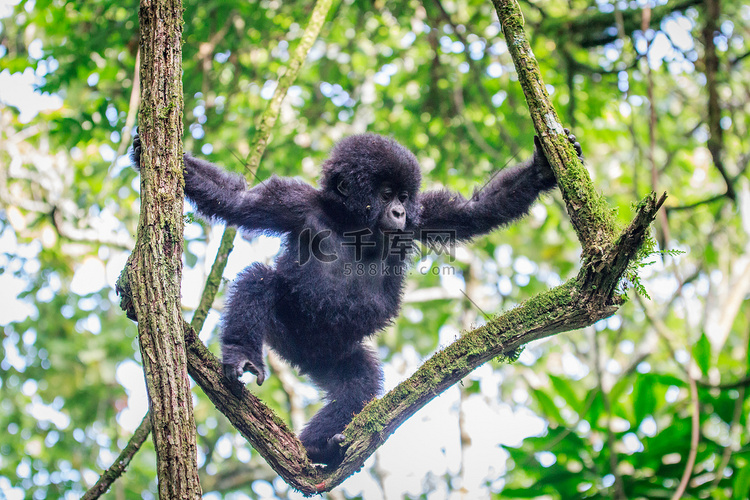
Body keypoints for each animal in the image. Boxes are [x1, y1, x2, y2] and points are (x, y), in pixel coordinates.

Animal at [132, 130, 584, 464]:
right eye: (385, 193)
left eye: (404, 197)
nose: (398, 212)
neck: (353, 223)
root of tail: (303, 355)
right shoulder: (293, 203)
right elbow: (239, 200)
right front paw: (163, 159)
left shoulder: (423, 217)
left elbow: (473, 211)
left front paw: (541, 169)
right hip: (285, 332)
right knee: (260, 280)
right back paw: (243, 353)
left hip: (331, 354)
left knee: (358, 381)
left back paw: (319, 446)